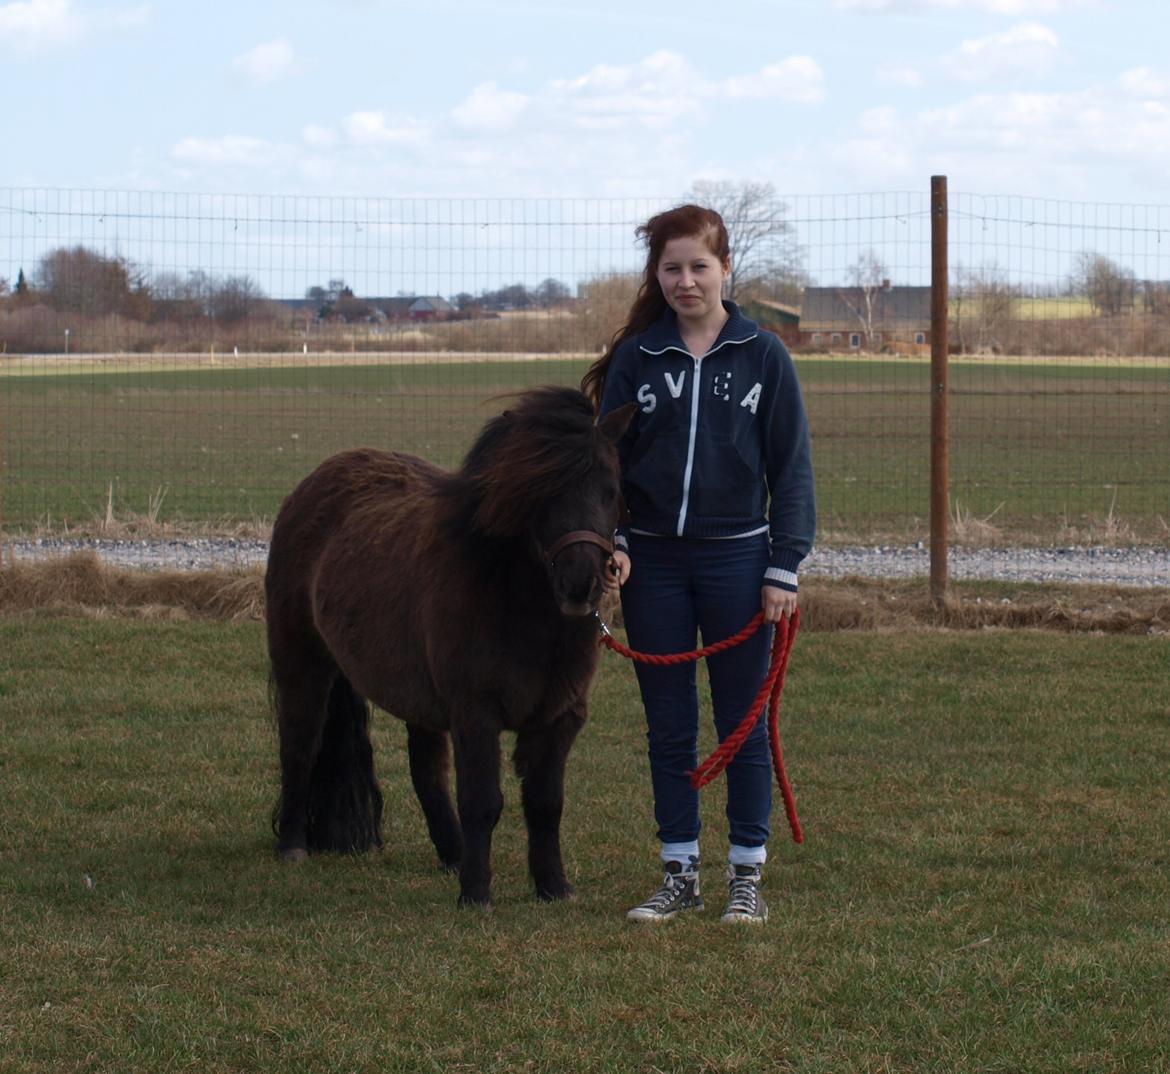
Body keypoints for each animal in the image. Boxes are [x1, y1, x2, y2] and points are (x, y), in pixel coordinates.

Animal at [265, 386, 636, 907]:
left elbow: (545, 802)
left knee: (426, 771)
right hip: (303, 664)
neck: (518, 606)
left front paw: (552, 886)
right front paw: (476, 893)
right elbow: (482, 802)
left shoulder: (560, 717)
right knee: (300, 745)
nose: (581, 584)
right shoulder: (475, 715)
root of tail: (316, 481)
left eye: (610, 491)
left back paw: (453, 854)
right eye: (542, 493)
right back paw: (293, 844)